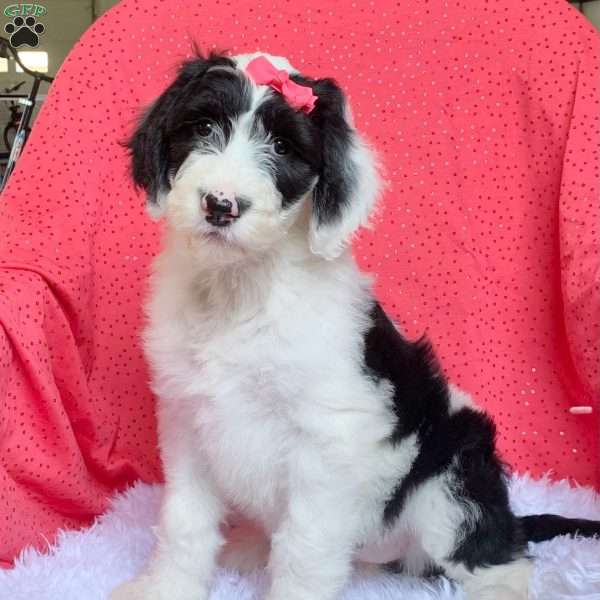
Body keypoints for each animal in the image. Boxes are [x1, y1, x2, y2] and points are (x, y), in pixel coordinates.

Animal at [111, 51, 600, 600]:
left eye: (282, 147)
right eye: (202, 127)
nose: (220, 204)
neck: (243, 289)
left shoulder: (329, 440)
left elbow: (304, 547)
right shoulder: (188, 421)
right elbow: (185, 521)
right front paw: (165, 587)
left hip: (453, 471)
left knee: (497, 555)